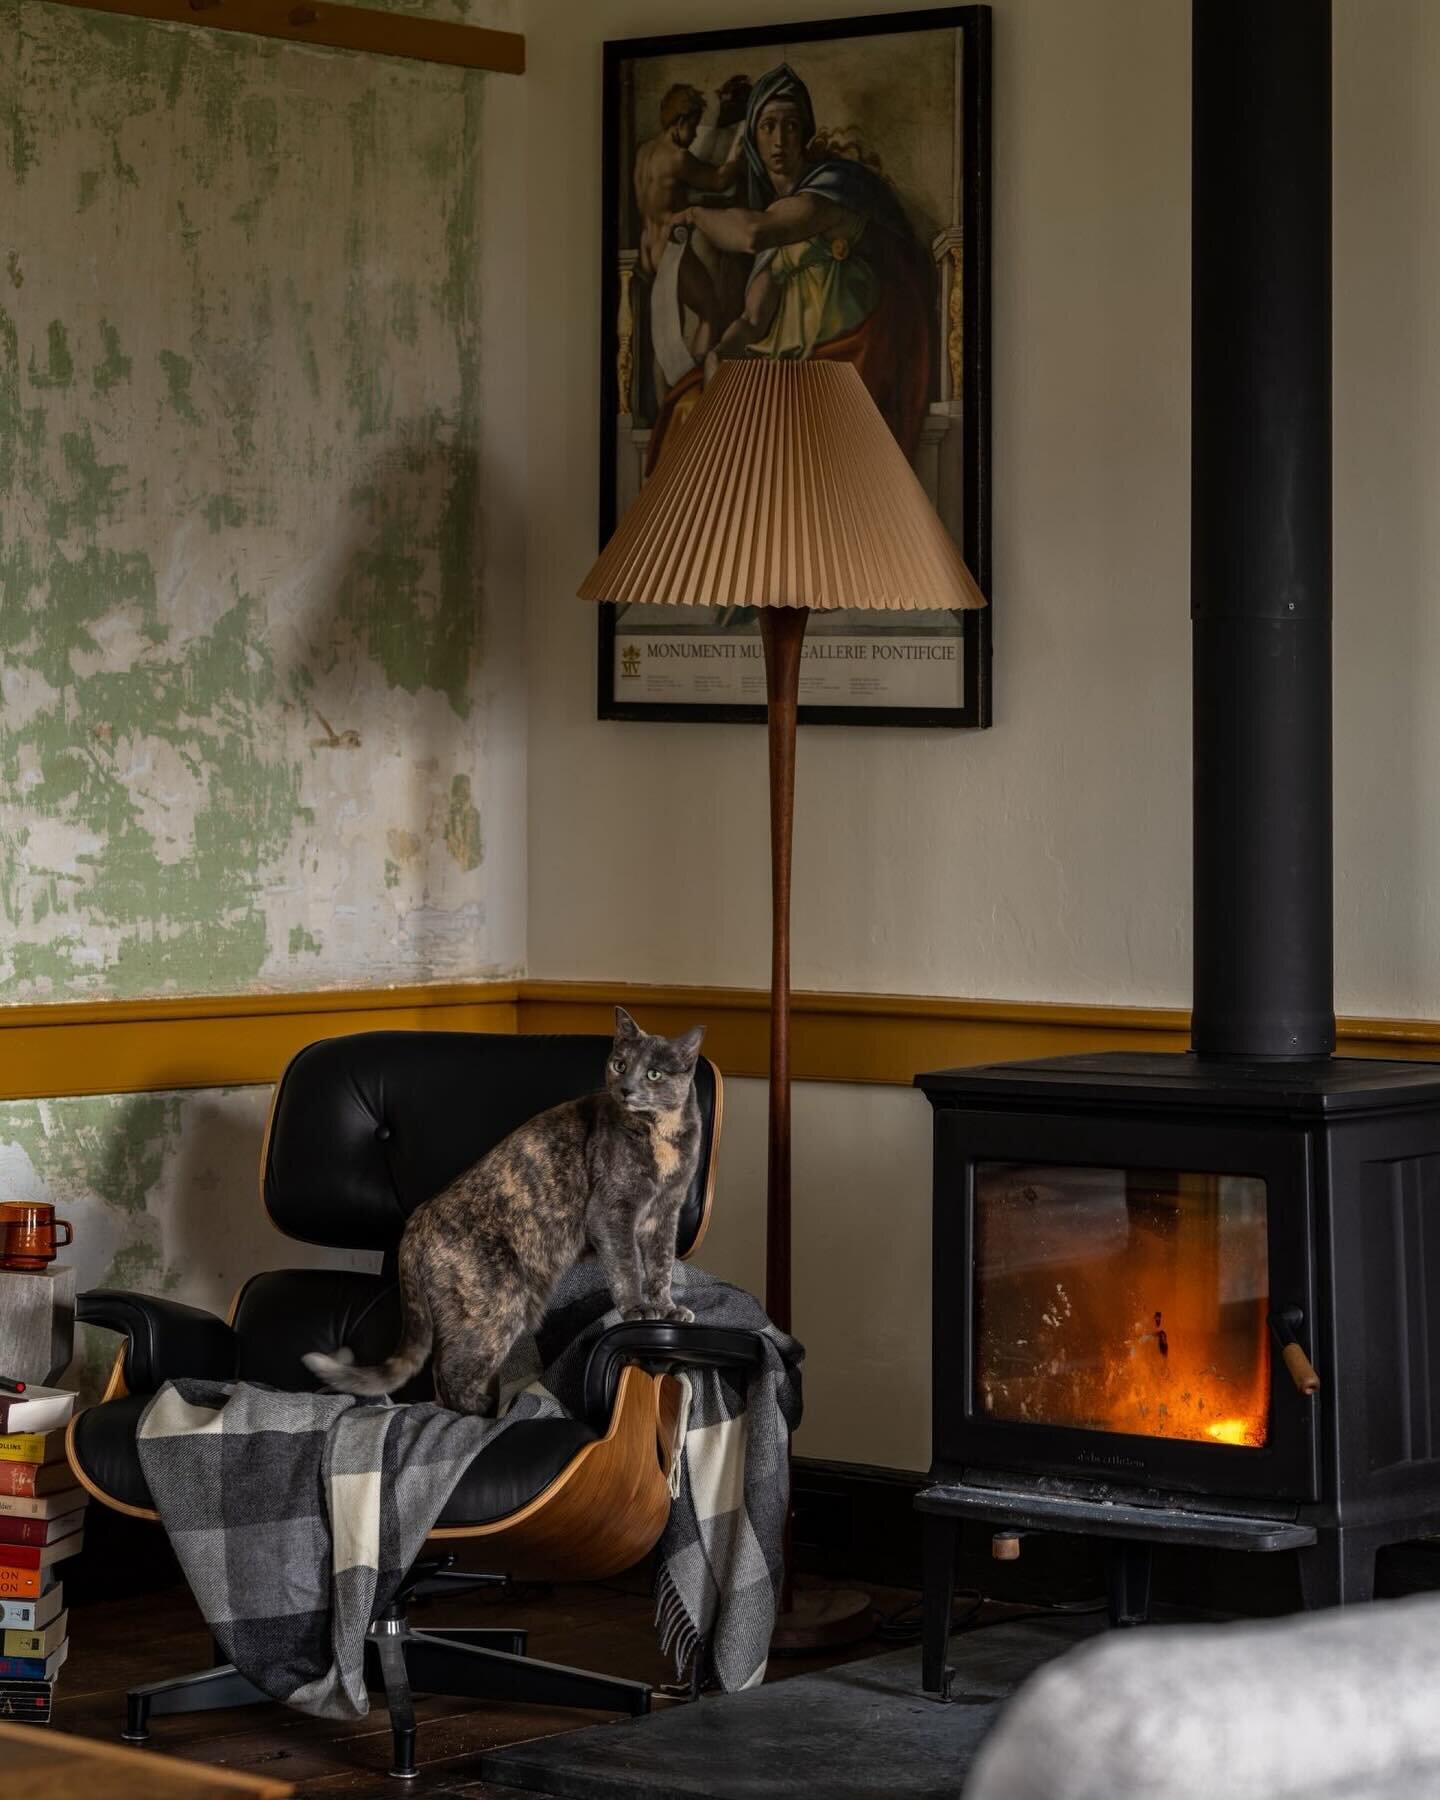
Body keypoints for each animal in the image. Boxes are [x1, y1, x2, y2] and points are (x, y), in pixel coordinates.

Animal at [306, 1008, 709, 1411]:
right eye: (620, 1064)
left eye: (653, 1073)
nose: (625, 1089)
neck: (662, 1137)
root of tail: (414, 1224)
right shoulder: (612, 1211)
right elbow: (627, 1268)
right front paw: (638, 1310)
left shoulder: (666, 1214)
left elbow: (660, 1267)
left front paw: (668, 1309)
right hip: (496, 1307)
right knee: (450, 1374)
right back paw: (486, 1410)